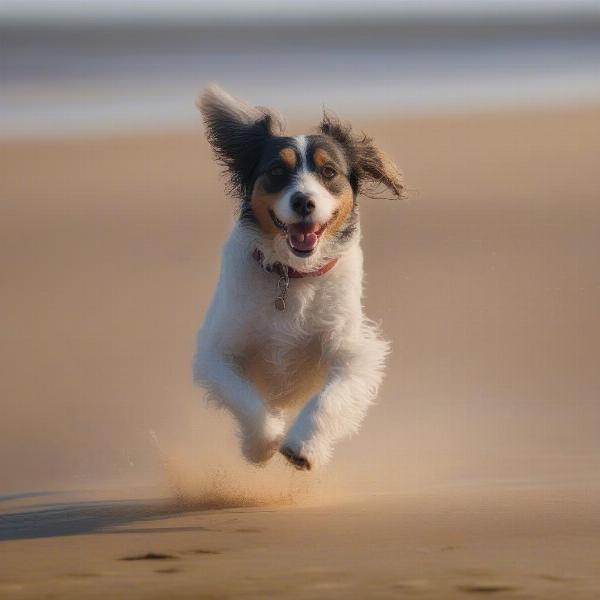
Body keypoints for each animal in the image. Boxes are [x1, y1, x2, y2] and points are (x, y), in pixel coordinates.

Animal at [193, 84, 404, 472]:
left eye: (329, 171)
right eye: (277, 170)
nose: (304, 201)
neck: (293, 275)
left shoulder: (353, 351)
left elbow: (330, 398)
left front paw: (303, 446)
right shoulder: (219, 350)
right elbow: (244, 397)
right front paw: (263, 444)